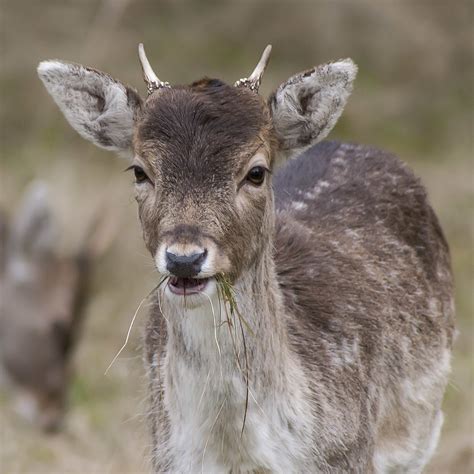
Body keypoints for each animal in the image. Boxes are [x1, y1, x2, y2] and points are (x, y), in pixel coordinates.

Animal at [38, 43, 456, 470]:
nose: (184, 258)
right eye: (139, 170)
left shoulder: (351, 455)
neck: (237, 451)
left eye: (256, 172)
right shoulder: (166, 455)